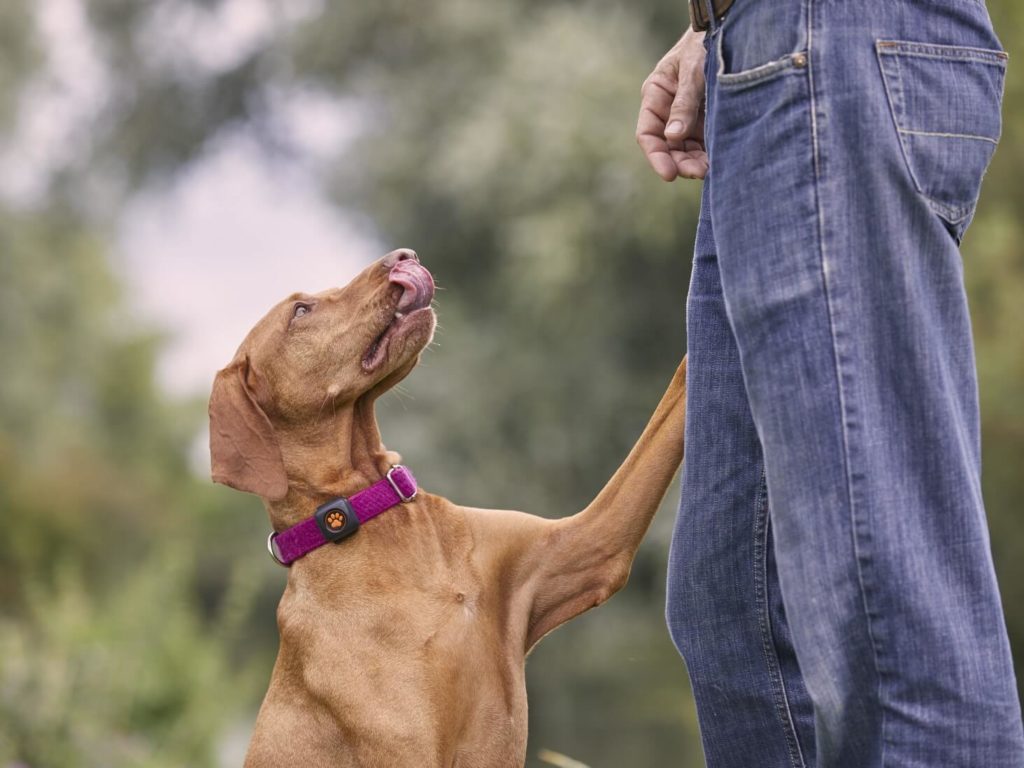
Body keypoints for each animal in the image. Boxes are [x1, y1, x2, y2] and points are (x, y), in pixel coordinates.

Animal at [207, 249, 688, 765]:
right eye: (300, 311)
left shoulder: (590, 545)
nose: (403, 257)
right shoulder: (410, 749)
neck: (376, 513)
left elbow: (676, 394)